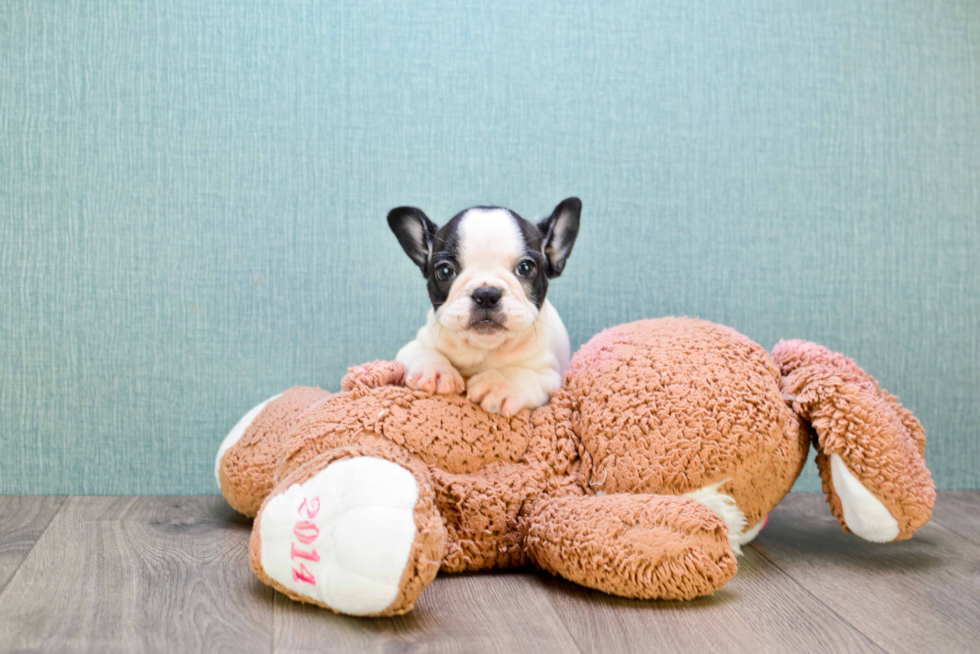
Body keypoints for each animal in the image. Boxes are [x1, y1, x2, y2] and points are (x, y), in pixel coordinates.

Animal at [384, 197, 580, 418]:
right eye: (445, 271)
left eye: (526, 268)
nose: (486, 294)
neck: (485, 348)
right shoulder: (413, 346)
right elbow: (424, 352)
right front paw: (436, 370)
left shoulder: (550, 376)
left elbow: (525, 374)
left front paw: (499, 384)